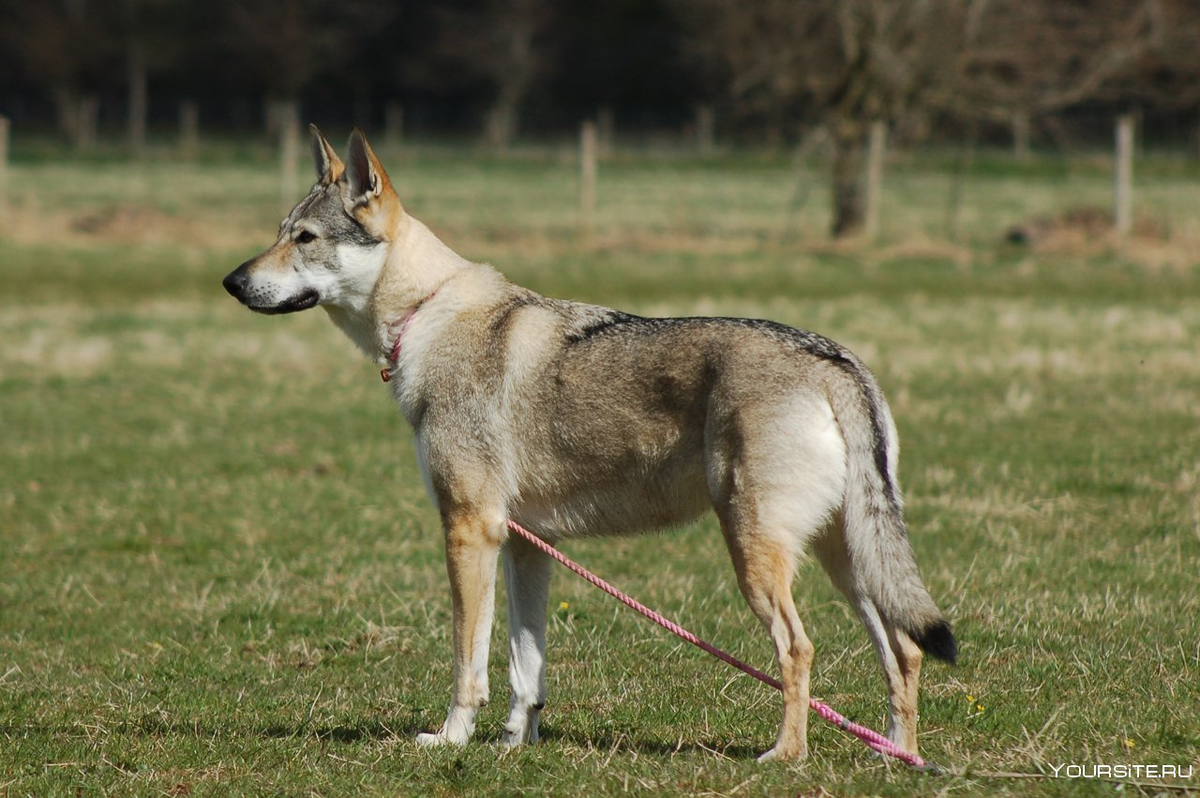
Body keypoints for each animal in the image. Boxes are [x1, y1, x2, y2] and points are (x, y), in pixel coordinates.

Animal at [223, 126, 955, 758]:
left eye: (306, 238)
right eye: (279, 233)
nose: (231, 282)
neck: (426, 316)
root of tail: (836, 361)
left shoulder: (468, 529)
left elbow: (468, 662)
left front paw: (451, 739)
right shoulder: (525, 544)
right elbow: (525, 668)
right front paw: (514, 745)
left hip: (758, 554)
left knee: (800, 651)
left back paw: (786, 757)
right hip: (846, 562)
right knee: (906, 650)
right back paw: (898, 755)